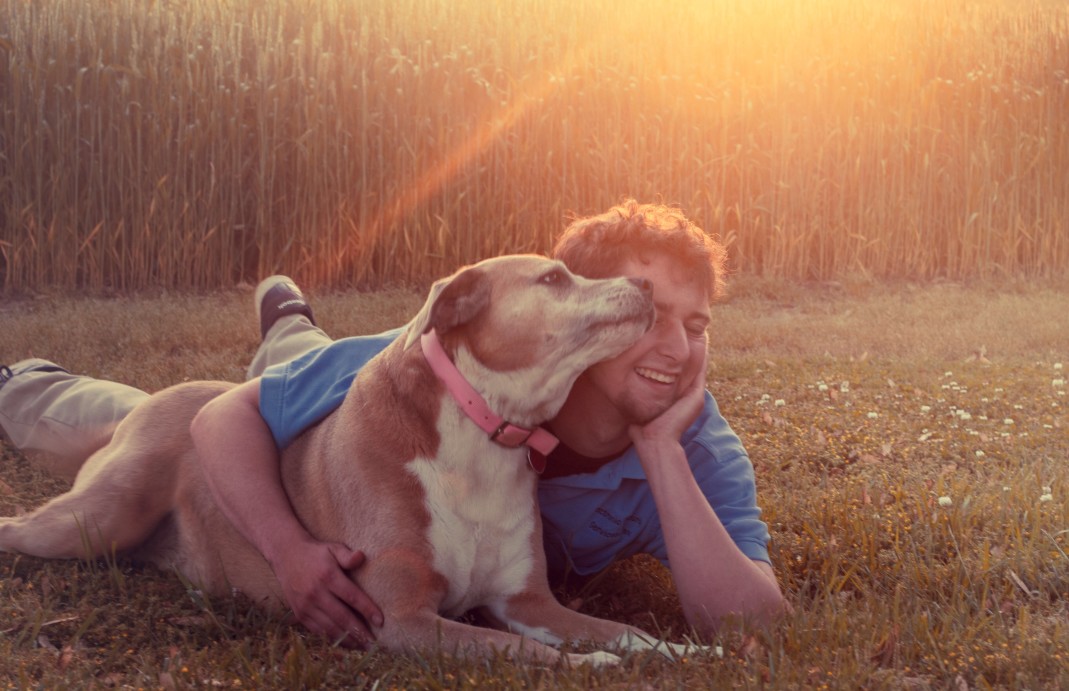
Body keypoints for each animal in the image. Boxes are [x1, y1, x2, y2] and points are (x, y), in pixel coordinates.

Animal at [2, 256, 701, 667]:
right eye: (554, 279)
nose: (645, 285)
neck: (483, 432)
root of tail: (158, 397)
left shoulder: (529, 602)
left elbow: (619, 629)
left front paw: (681, 649)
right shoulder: (406, 620)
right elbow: (525, 654)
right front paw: (597, 667)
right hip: (100, 515)